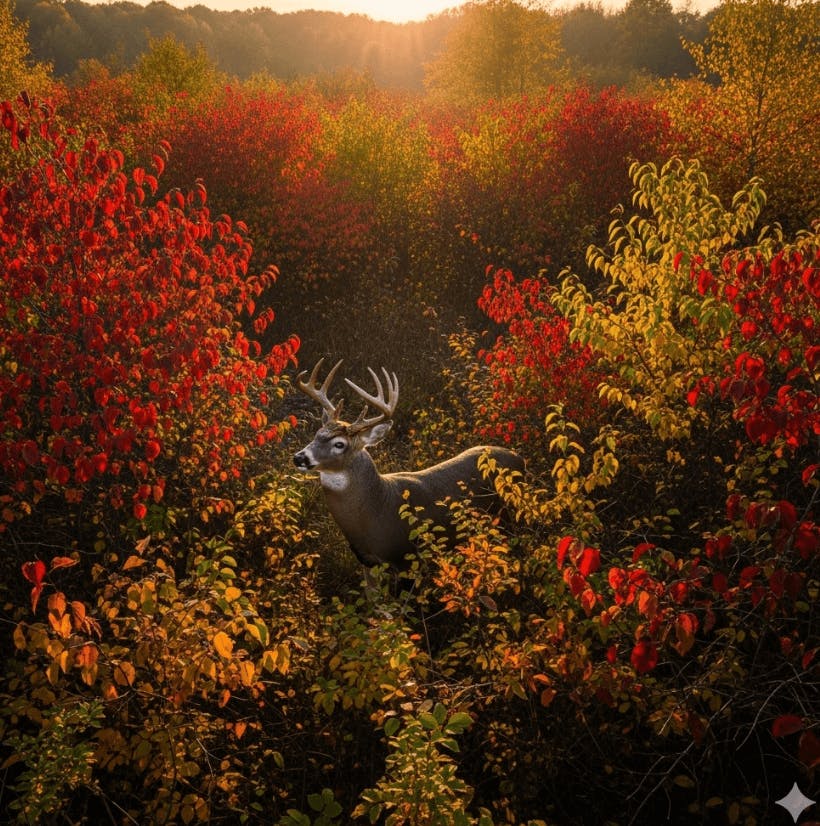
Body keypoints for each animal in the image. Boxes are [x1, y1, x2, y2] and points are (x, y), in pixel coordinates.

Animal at [292, 358, 524, 567]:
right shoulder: (367, 561)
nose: (299, 457)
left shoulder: (408, 557)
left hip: (511, 518)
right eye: (317, 434)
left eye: (339, 444)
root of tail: (518, 457)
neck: (377, 507)